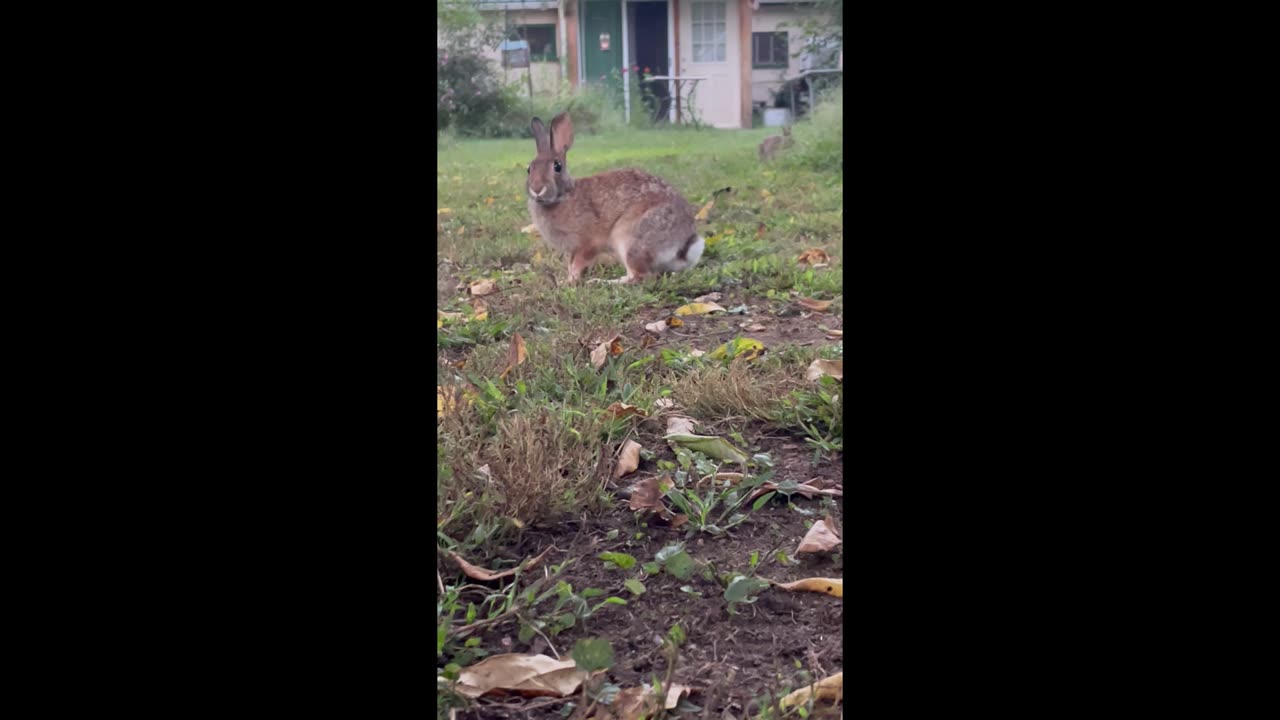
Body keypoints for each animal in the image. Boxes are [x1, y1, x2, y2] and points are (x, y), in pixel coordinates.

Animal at [522, 112, 706, 283]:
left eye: (557, 166)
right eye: (529, 169)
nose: (537, 189)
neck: (563, 196)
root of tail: (682, 245)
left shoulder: (587, 242)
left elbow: (578, 263)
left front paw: (570, 281)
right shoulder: (573, 249)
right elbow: (570, 263)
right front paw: (566, 280)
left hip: (629, 239)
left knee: (641, 277)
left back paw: (602, 283)